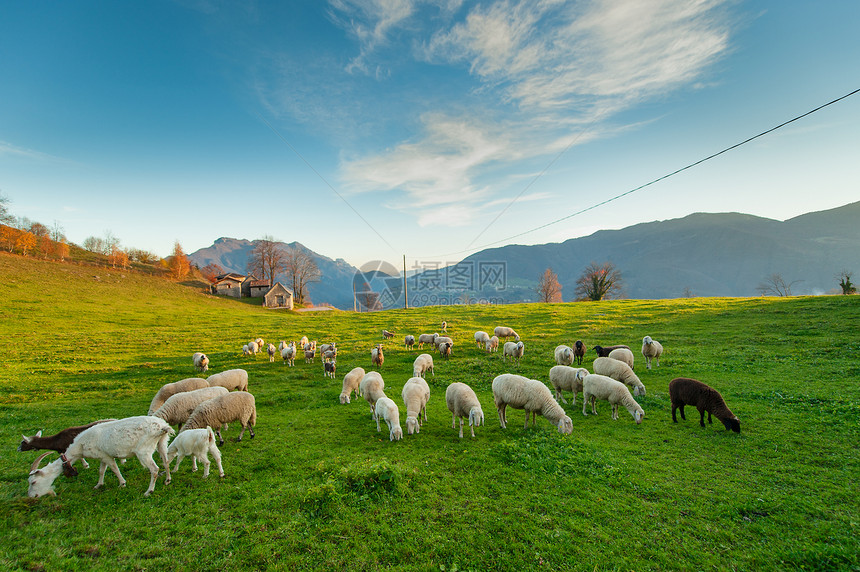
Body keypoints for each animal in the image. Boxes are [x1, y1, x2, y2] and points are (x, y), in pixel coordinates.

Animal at [28, 416, 175, 496]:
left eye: (33, 482)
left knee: (154, 469)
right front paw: (98, 485)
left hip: (143, 450)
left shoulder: (106, 456)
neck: (79, 446)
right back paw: (167, 480)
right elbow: (101, 470)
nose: (32, 496)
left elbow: (114, 468)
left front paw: (122, 484)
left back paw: (149, 491)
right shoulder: (101, 456)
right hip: (162, 442)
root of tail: (163, 427)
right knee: (166, 461)